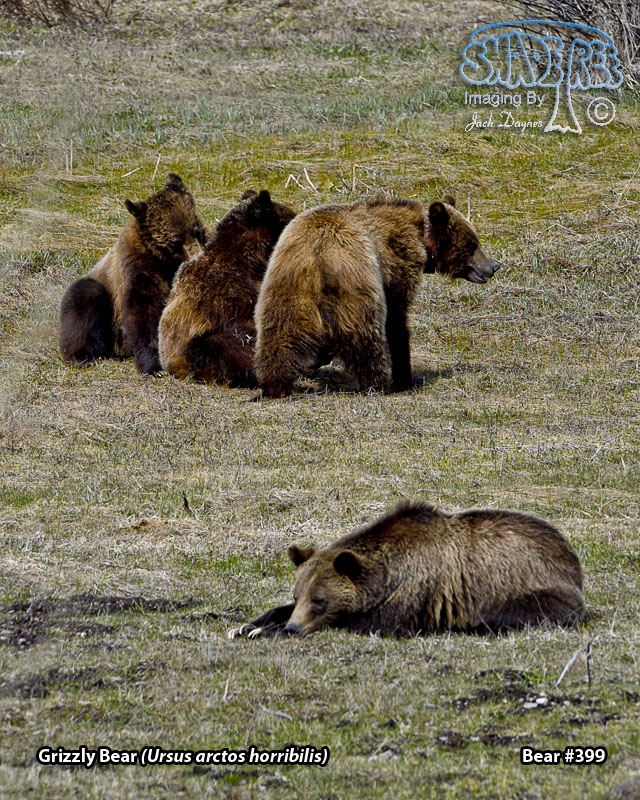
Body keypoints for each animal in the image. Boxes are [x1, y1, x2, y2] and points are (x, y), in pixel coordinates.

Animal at [59, 173, 205, 374]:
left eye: (196, 230)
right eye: (176, 240)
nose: (197, 255)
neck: (164, 261)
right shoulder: (138, 268)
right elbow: (143, 311)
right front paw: (154, 366)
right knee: (84, 300)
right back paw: (81, 356)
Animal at [228, 502, 585, 638]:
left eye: (320, 600)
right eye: (298, 594)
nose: (294, 627)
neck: (388, 574)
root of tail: (570, 555)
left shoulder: (415, 593)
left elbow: (367, 623)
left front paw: (266, 631)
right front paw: (249, 625)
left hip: (530, 586)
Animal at [253, 194, 499, 398]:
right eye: (473, 244)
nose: (494, 266)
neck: (421, 239)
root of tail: (319, 255)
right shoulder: (397, 265)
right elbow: (397, 320)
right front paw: (406, 377)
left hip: (286, 288)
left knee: (279, 337)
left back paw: (275, 384)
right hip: (357, 287)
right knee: (365, 337)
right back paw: (378, 383)